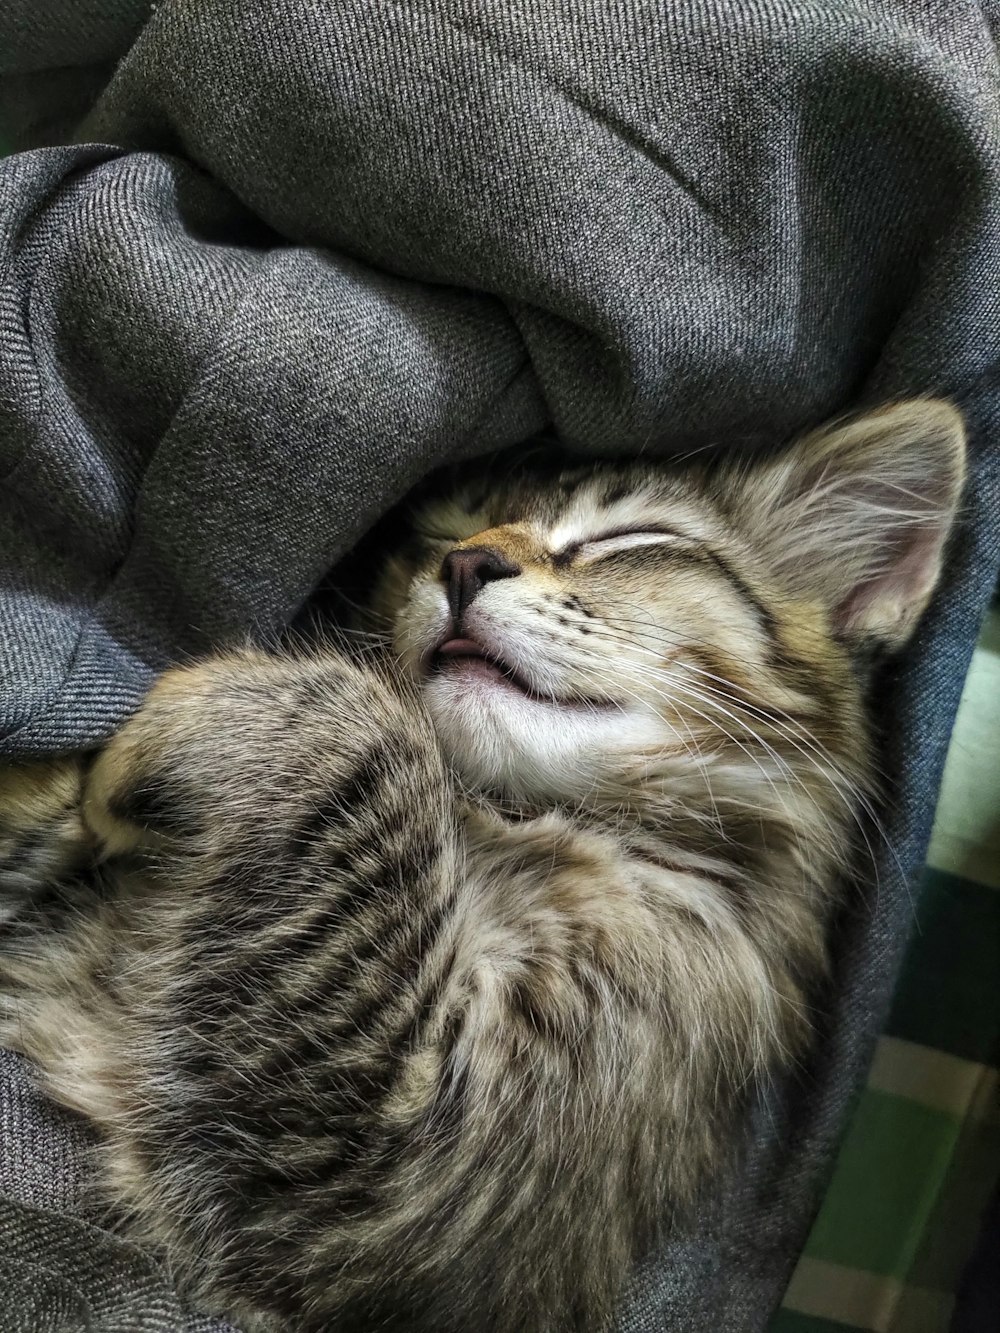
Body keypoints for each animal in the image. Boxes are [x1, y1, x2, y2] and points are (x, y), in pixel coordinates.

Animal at [0, 402, 970, 1333]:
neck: (502, 815)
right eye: (444, 531)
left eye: (632, 538)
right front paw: (61, 792)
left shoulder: (385, 1172)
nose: (466, 564)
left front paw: (168, 726)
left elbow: (364, 716)